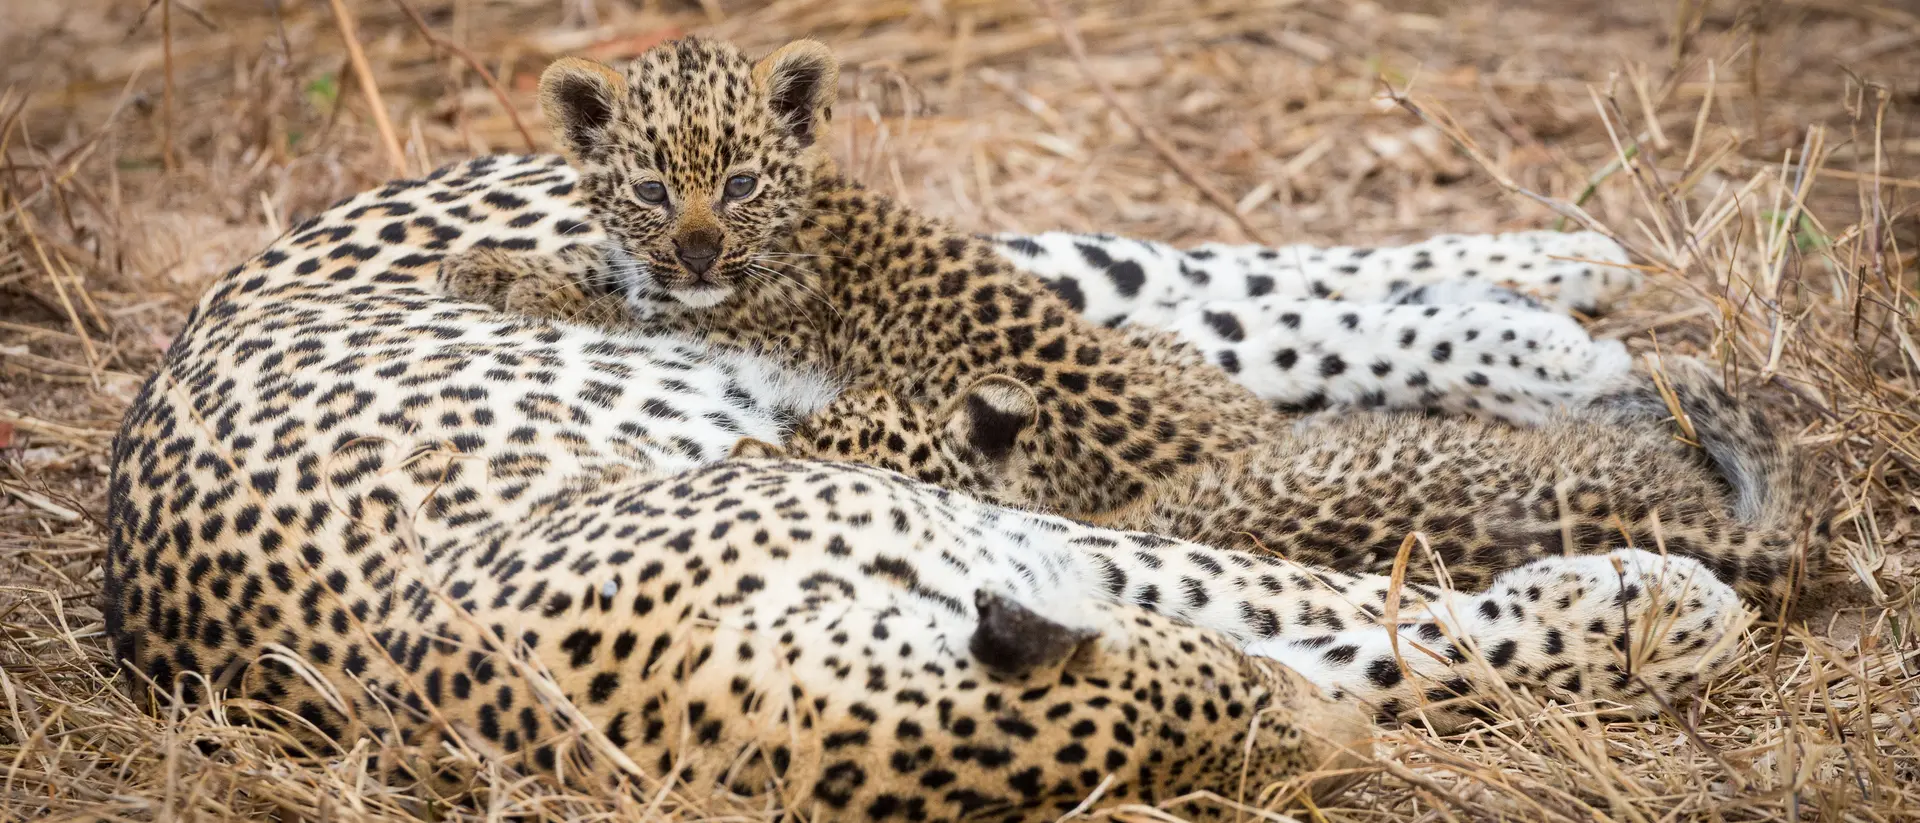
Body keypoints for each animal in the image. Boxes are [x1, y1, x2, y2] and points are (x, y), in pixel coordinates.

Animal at [443, 37, 1822, 608]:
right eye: (650, 181)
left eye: (733, 181)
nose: (694, 242)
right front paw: (512, 265)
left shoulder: (755, 317)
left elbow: (624, 301)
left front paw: (504, 275)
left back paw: (1565, 320)